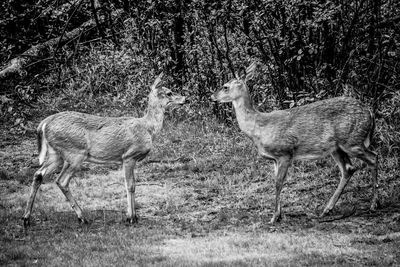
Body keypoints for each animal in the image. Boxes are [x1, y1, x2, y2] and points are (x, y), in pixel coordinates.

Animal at [24, 73, 187, 228]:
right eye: (169, 92)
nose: (185, 99)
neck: (148, 128)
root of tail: (44, 123)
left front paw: (133, 216)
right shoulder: (129, 156)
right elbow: (130, 185)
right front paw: (131, 218)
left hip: (56, 154)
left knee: (38, 174)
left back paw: (26, 218)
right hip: (75, 152)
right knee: (61, 181)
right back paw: (82, 218)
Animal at [211, 62, 380, 224]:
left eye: (225, 86)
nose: (212, 97)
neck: (259, 128)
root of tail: (370, 112)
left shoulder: (285, 152)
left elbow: (278, 183)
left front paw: (274, 218)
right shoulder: (274, 159)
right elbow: (277, 181)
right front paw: (279, 214)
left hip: (352, 140)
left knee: (373, 158)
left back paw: (373, 205)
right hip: (336, 147)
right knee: (349, 169)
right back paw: (327, 209)